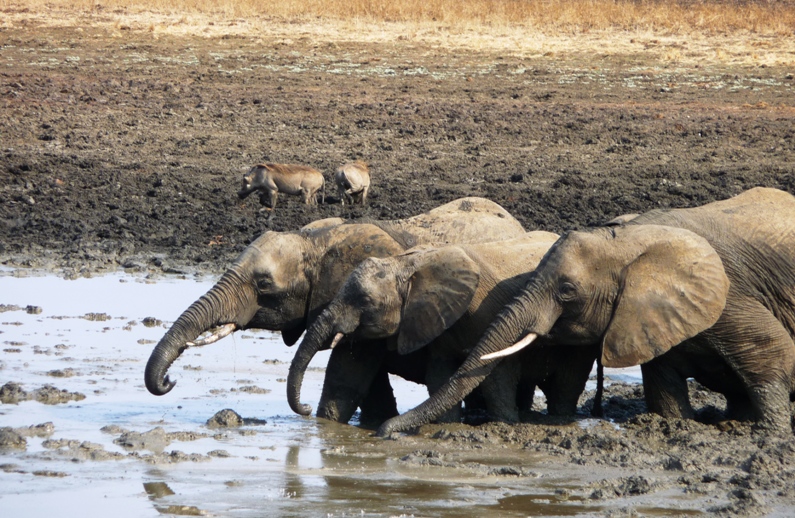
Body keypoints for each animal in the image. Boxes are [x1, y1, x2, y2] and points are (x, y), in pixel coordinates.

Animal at [286, 234, 596, 428]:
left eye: (364, 301)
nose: (306, 409)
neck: (406, 263)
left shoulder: (485, 310)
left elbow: (496, 374)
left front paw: (506, 423)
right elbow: (436, 374)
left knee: (567, 380)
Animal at [376, 188, 795, 438]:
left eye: (567, 291)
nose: (384, 431)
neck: (630, 240)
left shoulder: (729, 295)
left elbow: (774, 354)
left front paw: (773, 435)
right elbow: (665, 393)